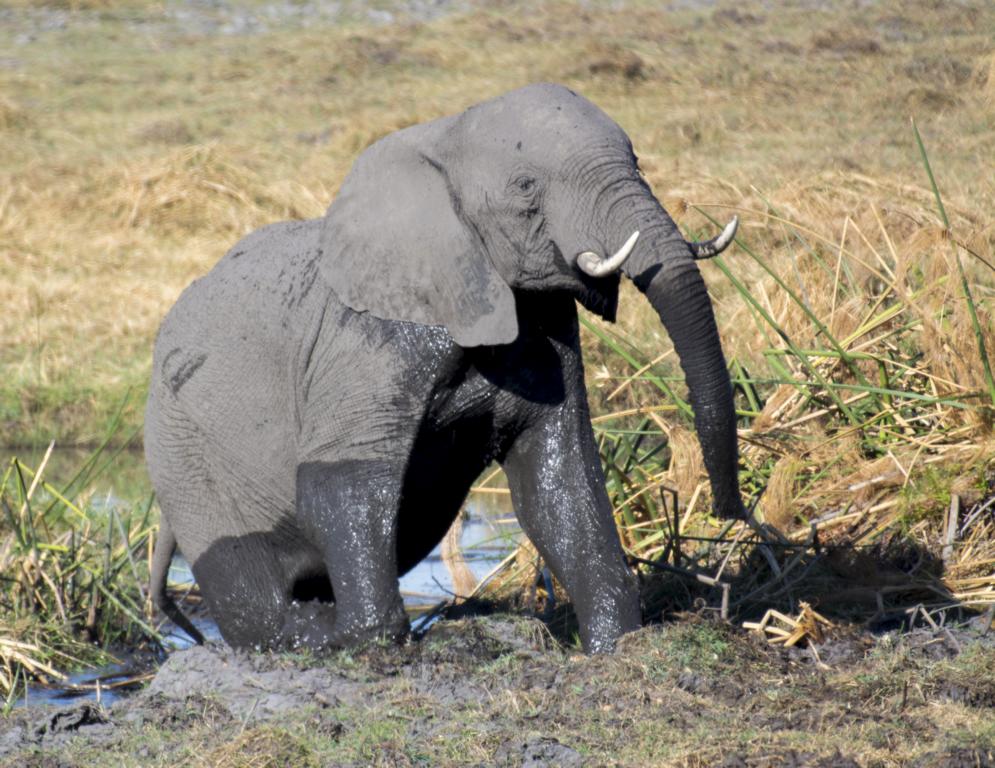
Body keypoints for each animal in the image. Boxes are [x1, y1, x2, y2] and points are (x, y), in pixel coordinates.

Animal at [144, 82, 744, 656]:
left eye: (636, 160)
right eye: (526, 186)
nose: (728, 512)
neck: (441, 139)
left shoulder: (546, 328)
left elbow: (558, 481)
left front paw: (615, 646)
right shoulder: (364, 342)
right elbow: (342, 484)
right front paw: (368, 640)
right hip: (187, 460)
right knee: (249, 585)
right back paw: (307, 631)